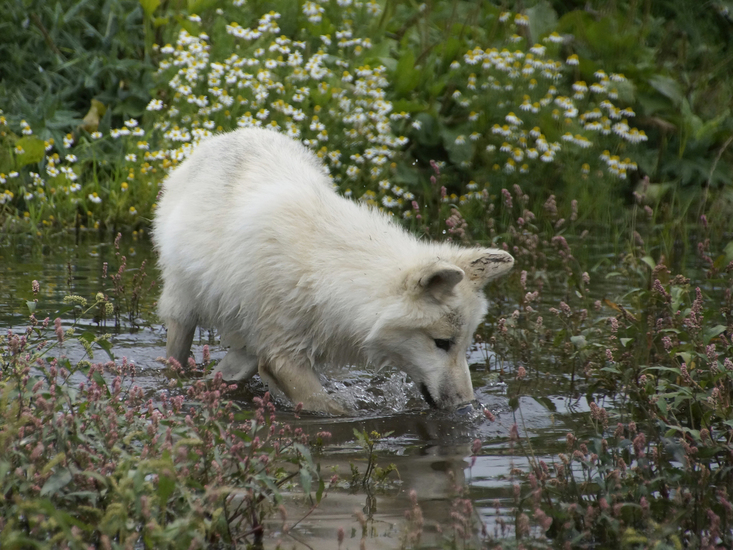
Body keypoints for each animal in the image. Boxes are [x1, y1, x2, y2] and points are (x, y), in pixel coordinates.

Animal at [153, 128, 514, 414]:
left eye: (464, 344)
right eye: (441, 343)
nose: (465, 406)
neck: (326, 275)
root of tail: (231, 134)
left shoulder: (272, 348)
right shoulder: (283, 353)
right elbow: (334, 410)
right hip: (183, 309)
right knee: (175, 357)